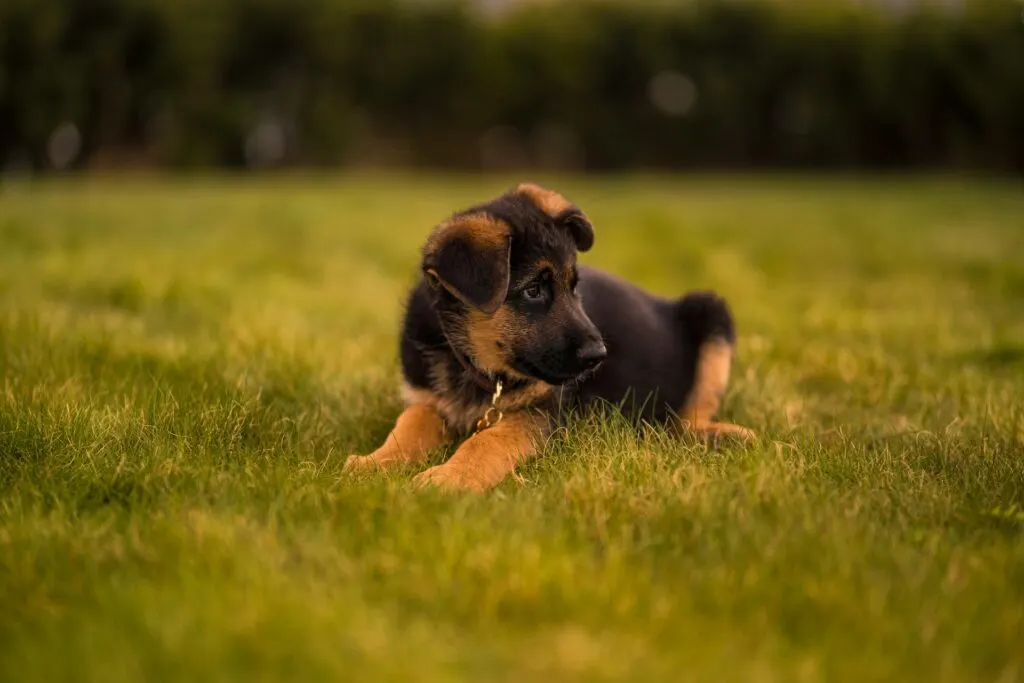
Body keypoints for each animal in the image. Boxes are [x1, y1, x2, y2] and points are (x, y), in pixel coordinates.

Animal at [344, 181, 753, 491]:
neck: (473, 365)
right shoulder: (429, 400)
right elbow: (410, 422)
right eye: (533, 291)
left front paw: (450, 478)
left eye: (574, 287)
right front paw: (375, 462)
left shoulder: (543, 413)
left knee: (689, 419)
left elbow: (488, 440)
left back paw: (726, 435)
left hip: (711, 312)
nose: (599, 356)